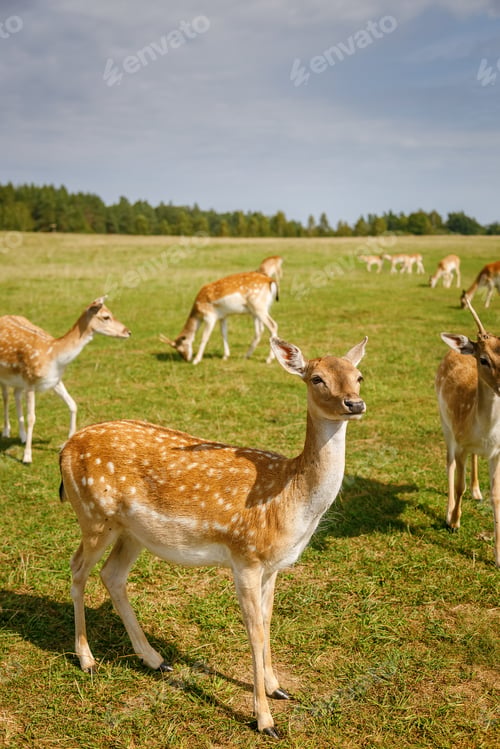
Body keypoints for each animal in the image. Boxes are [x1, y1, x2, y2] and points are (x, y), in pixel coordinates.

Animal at [0, 297, 131, 463]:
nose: (128, 332)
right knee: (5, 396)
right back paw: (6, 431)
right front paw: (27, 457)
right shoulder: (30, 381)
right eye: (106, 317)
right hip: (6, 375)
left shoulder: (54, 381)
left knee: (16, 394)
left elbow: (73, 405)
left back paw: (22, 436)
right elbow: (32, 418)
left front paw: (66, 442)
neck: (54, 356)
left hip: (18, 379)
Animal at [59, 333, 367, 737]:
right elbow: (254, 631)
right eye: (317, 378)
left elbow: (268, 621)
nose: (355, 403)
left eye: (359, 376)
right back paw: (88, 660)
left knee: (112, 575)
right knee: (77, 568)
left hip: (131, 532)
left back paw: (155, 659)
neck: (290, 502)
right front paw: (265, 720)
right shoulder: (245, 556)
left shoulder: (273, 566)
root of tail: (63, 450)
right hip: (94, 516)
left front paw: (278, 688)